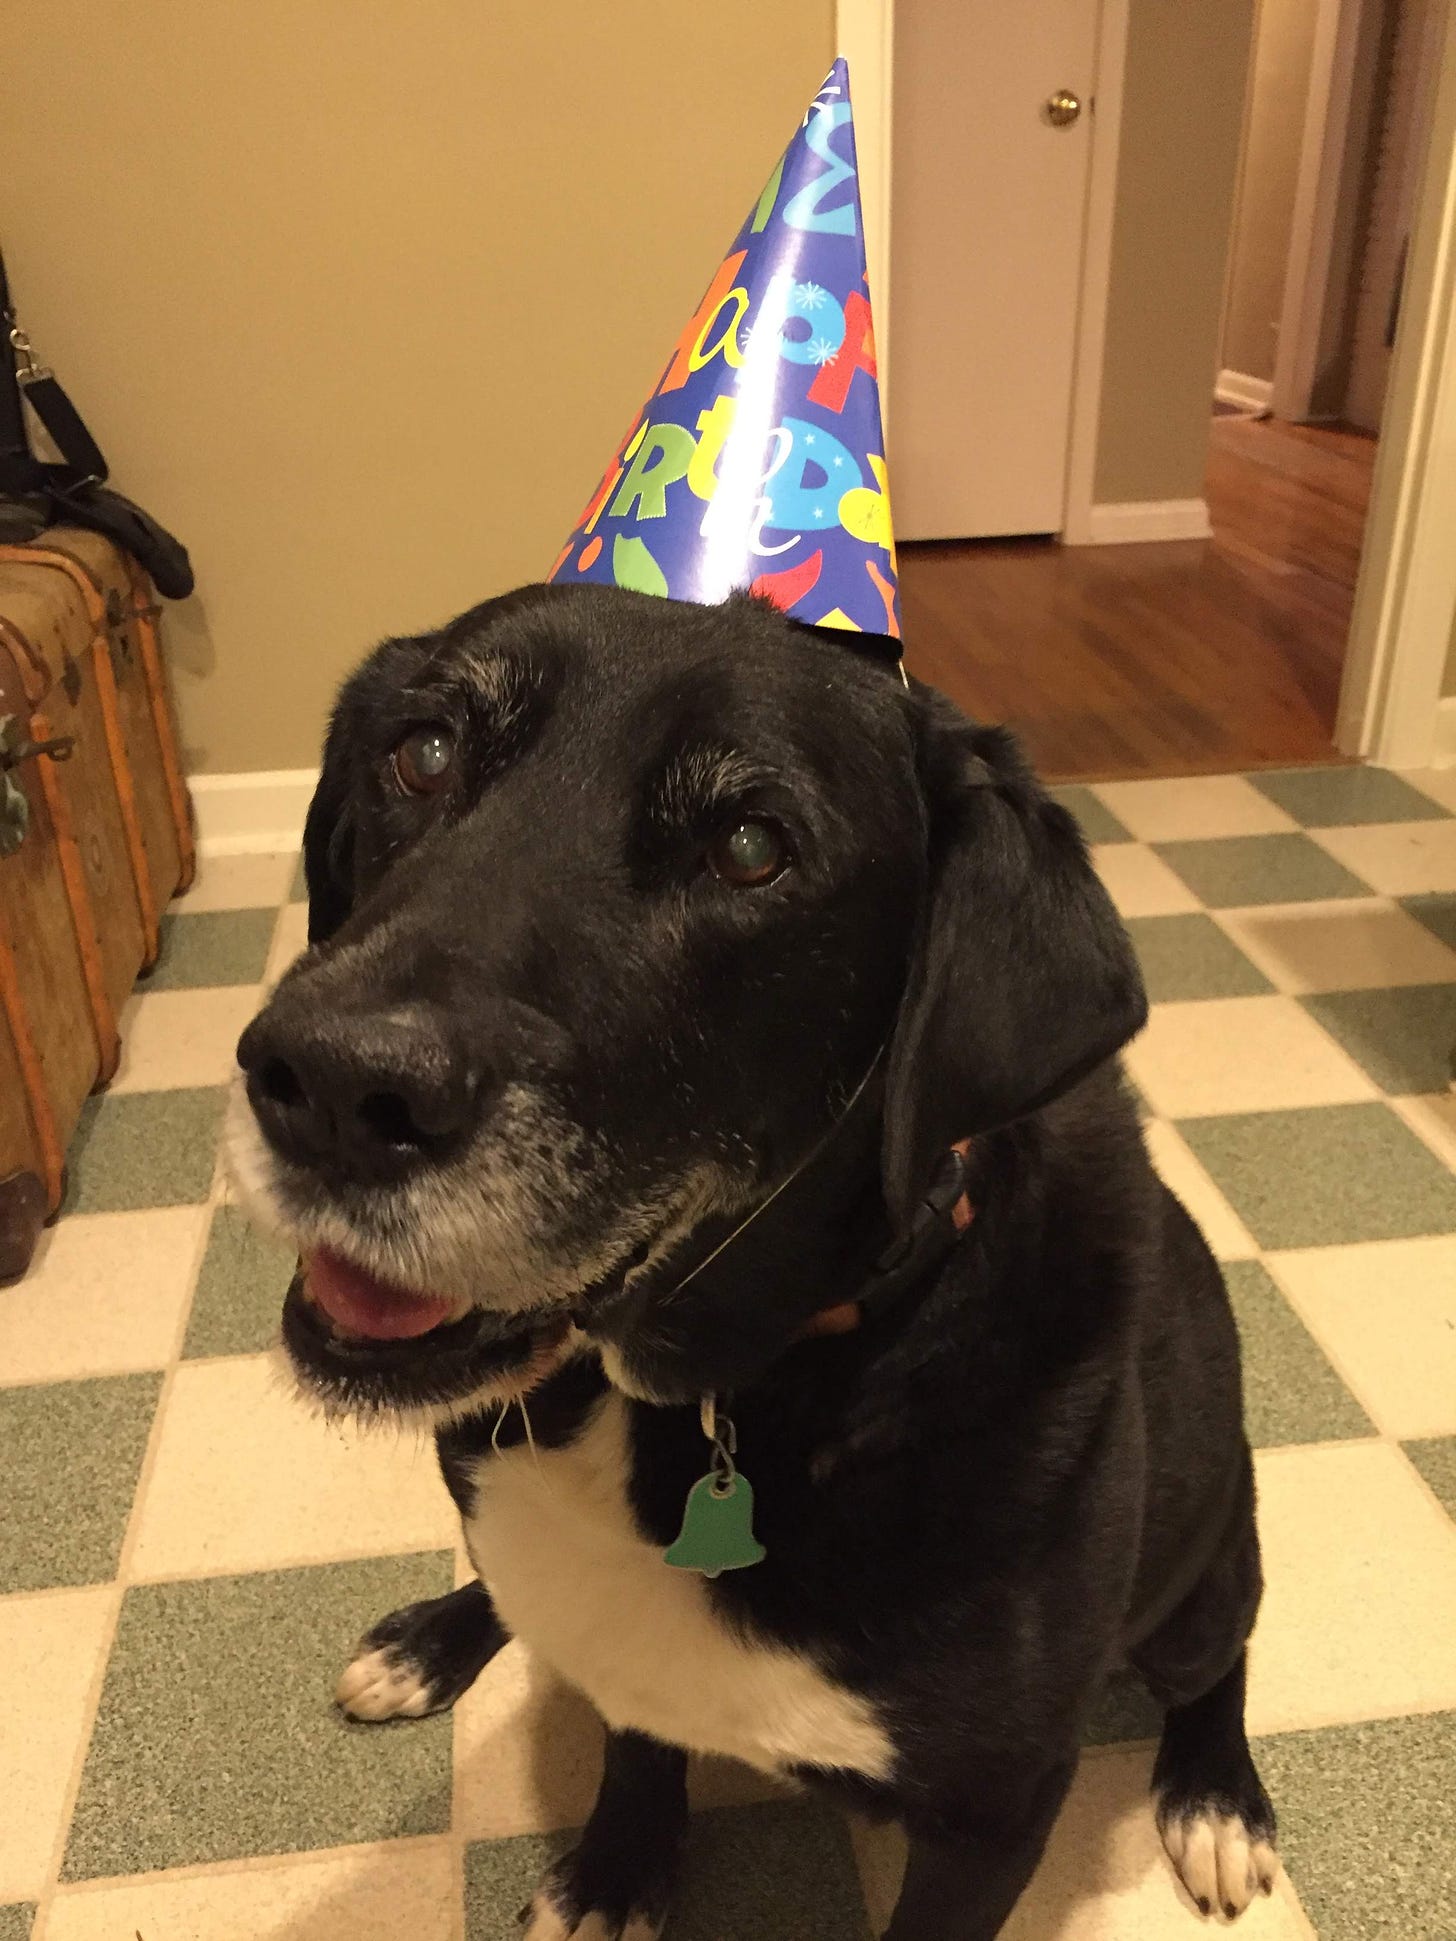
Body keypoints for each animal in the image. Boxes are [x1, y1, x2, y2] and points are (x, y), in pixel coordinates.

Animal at [228, 582, 1273, 1933]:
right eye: (424, 751)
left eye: (749, 847)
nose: (335, 1088)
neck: (696, 1403)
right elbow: (633, 1743)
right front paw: (615, 1872)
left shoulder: (995, 1806)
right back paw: (429, 1640)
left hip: (1208, 1561)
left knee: (1218, 1658)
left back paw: (1216, 1799)